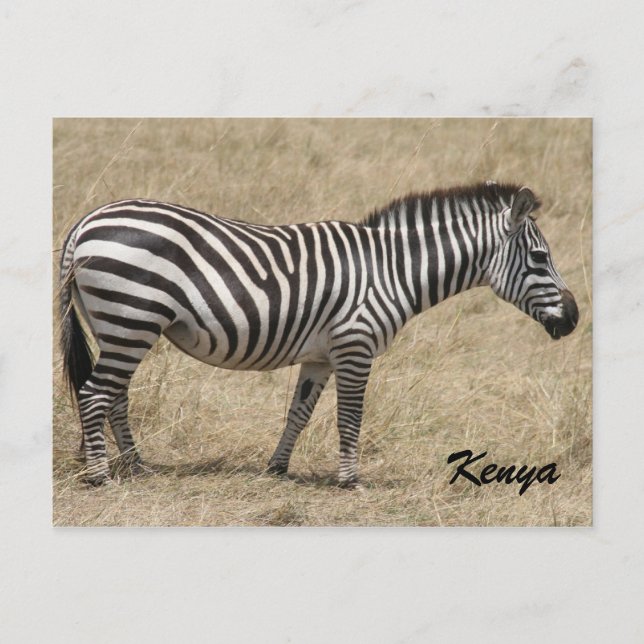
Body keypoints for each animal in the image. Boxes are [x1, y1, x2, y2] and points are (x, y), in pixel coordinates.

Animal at [58, 181, 579, 489]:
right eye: (539, 258)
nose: (574, 319)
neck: (391, 270)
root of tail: (85, 221)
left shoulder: (320, 356)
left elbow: (300, 412)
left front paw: (277, 468)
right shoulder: (355, 346)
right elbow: (350, 417)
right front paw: (350, 480)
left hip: (120, 326)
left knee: (115, 396)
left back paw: (137, 465)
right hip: (132, 318)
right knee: (94, 394)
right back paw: (100, 475)